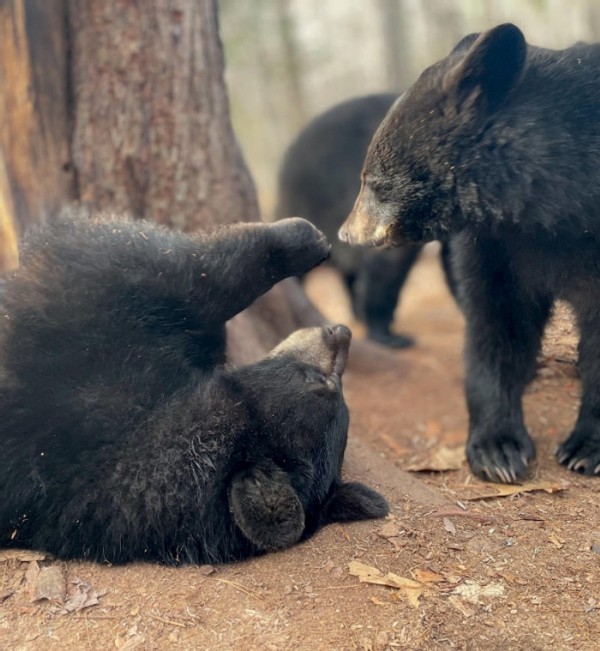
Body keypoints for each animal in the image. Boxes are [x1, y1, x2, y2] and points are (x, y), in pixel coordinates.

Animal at [340, 24, 600, 484]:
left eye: (373, 182)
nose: (346, 233)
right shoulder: (496, 245)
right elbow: (497, 322)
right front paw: (498, 450)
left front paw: (584, 449)